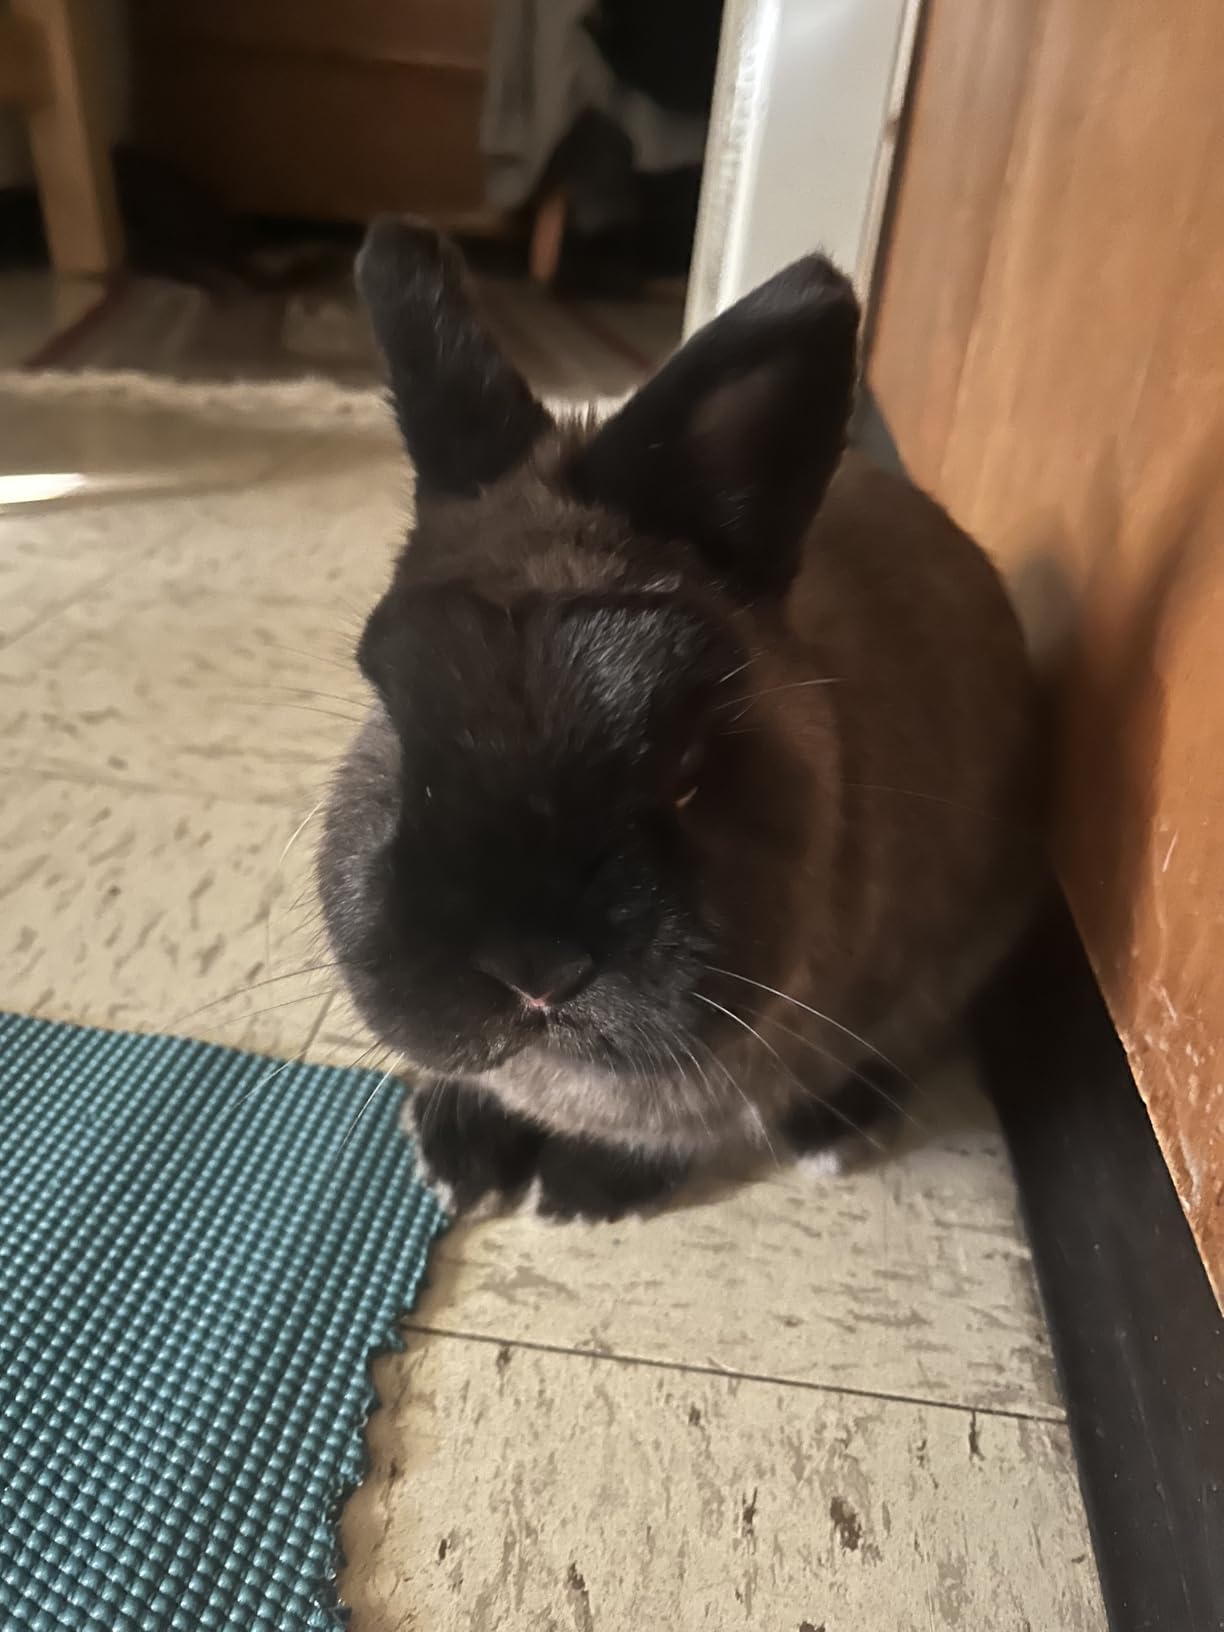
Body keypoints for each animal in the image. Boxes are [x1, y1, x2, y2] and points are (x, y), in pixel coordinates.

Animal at [316, 217, 1046, 1221]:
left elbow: (679, 1127)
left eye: (691, 767)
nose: (533, 970)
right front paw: (457, 1148)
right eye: (392, 720)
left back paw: (837, 1126)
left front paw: (583, 1186)